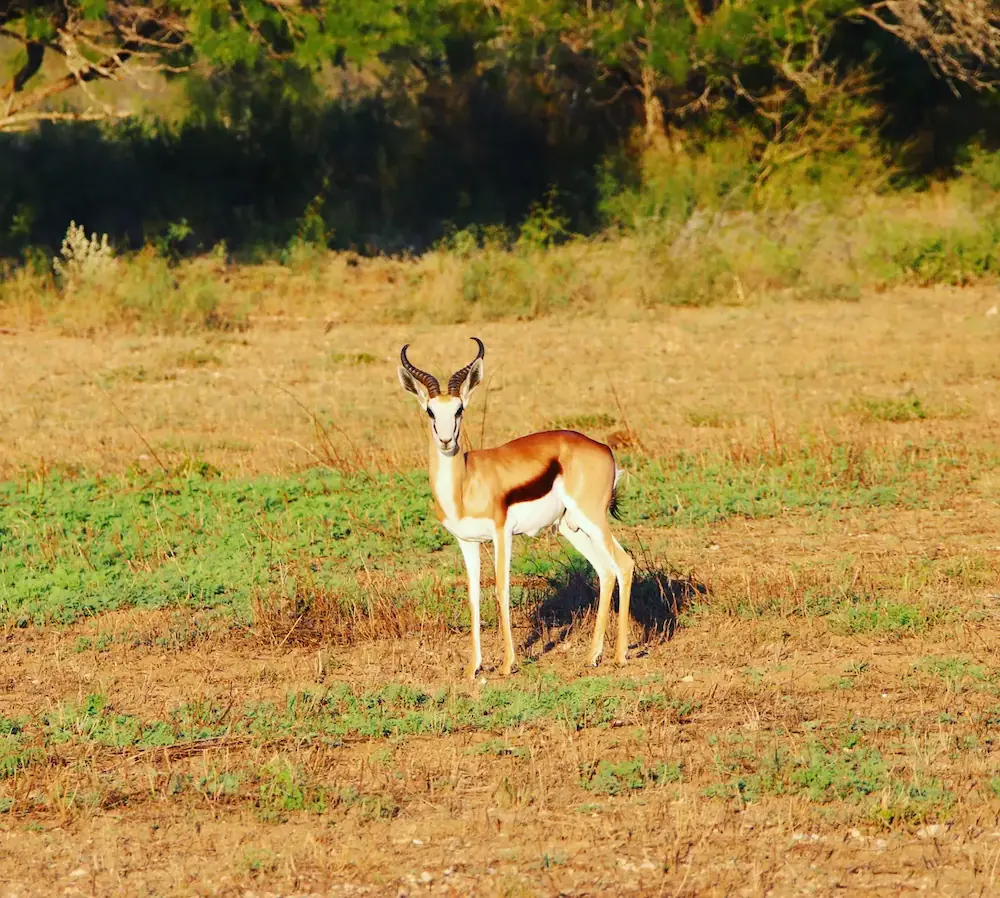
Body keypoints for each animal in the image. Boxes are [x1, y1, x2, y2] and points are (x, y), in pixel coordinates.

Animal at [398, 337, 635, 680]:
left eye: (459, 409)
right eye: (430, 410)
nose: (445, 441)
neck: (465, 484)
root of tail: (603, 448)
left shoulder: (502, 534)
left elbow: (501, 589)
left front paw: (508, 663)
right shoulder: (467, 542)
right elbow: (473, 596)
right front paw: (473, 667)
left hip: (592, 519)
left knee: (624, 564)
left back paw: (619, 657)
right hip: (572, 527)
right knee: (605, 570)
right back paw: (592, 656)